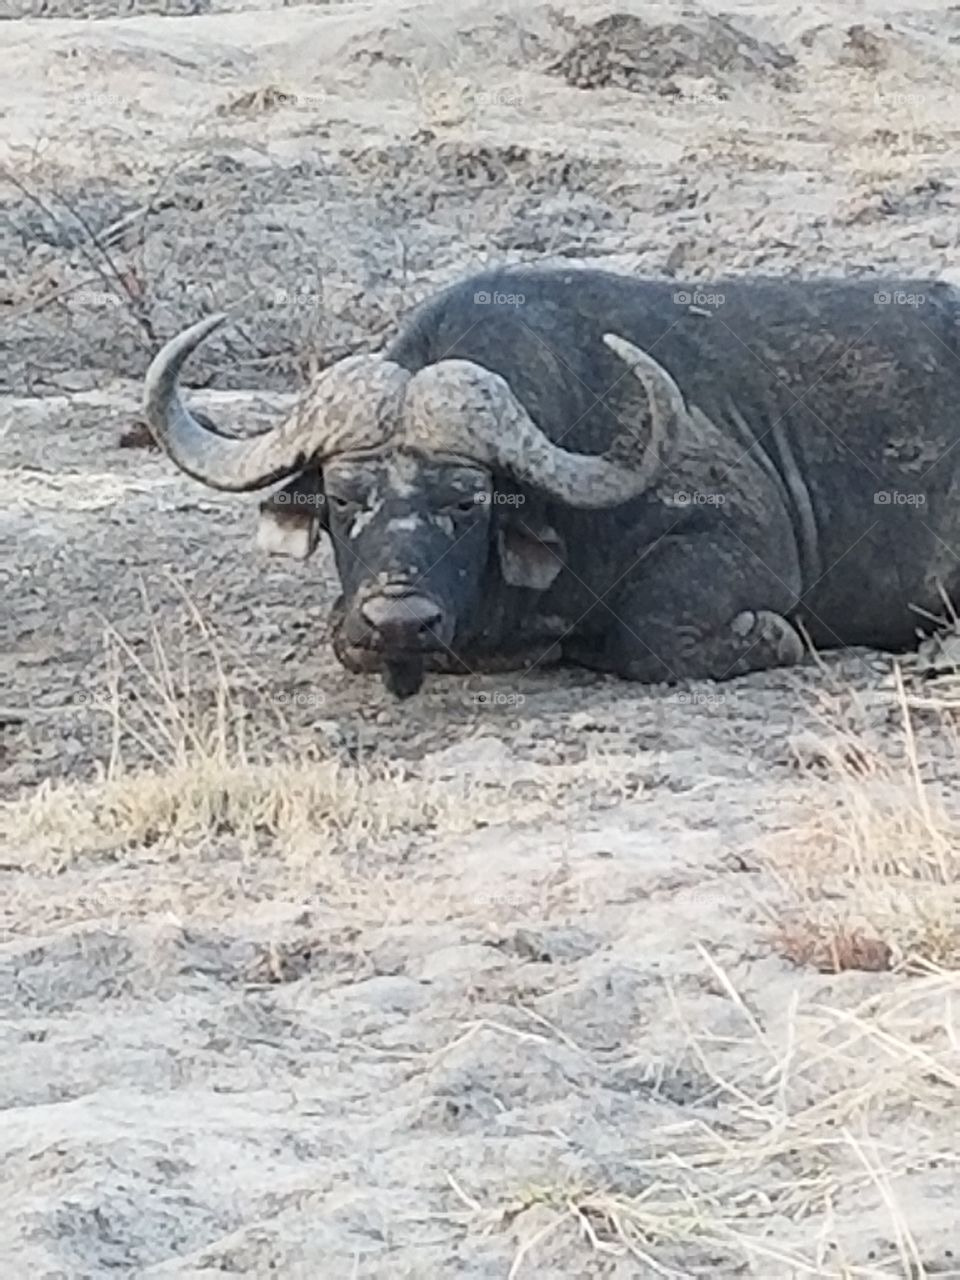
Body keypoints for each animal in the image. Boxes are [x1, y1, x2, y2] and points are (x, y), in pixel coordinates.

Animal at [143, 267, 960, 697]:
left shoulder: (738, 540)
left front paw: (771, 637)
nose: (400, 621)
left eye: (467, 501)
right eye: (343, 498)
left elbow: (651, 632)